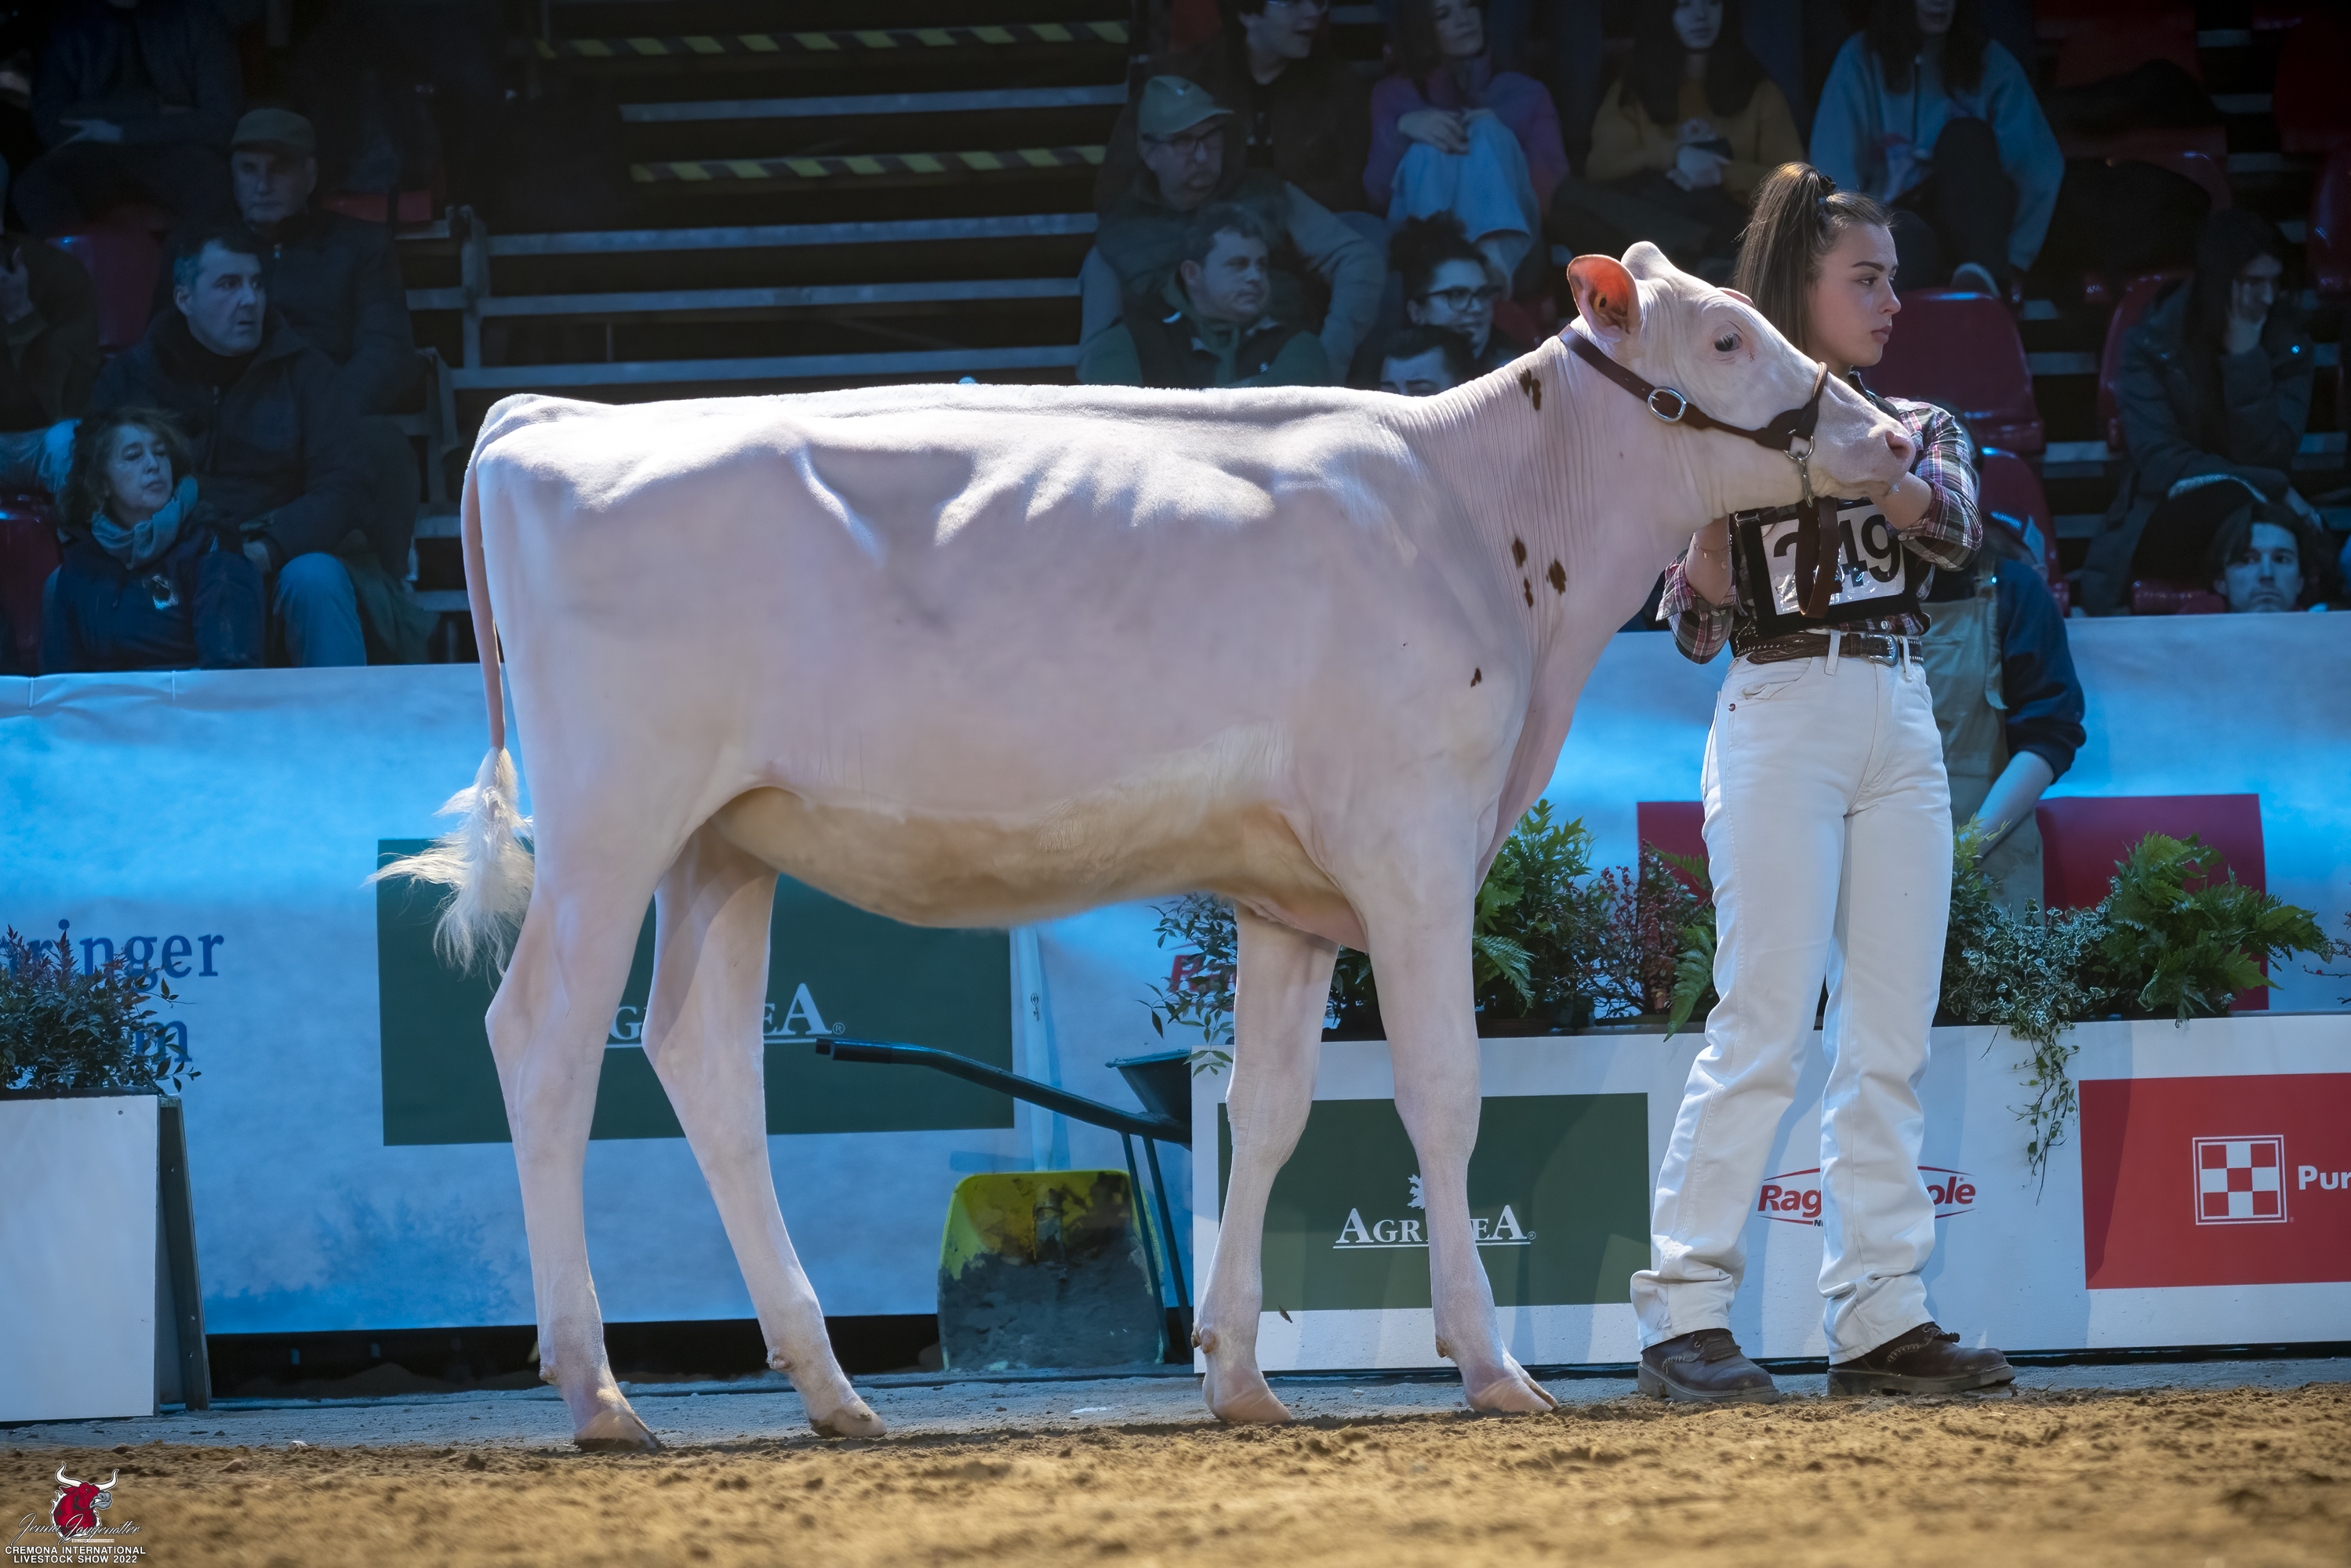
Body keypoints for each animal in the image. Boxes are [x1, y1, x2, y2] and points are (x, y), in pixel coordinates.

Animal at [382, 244, 1915, 1450]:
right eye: (1725, 336)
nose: (1896, 440)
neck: (1476, 516)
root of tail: (545, 422)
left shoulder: (1294, 892)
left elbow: (1275, 1108)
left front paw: (1238, 1375)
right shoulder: (1415, 844)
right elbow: (1440, 1094)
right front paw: (1491, 1366)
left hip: (722, 842)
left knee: (703, 1064)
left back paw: (828, 1388)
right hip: (612, 819)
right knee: (544, 1040)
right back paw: (598, 1392)